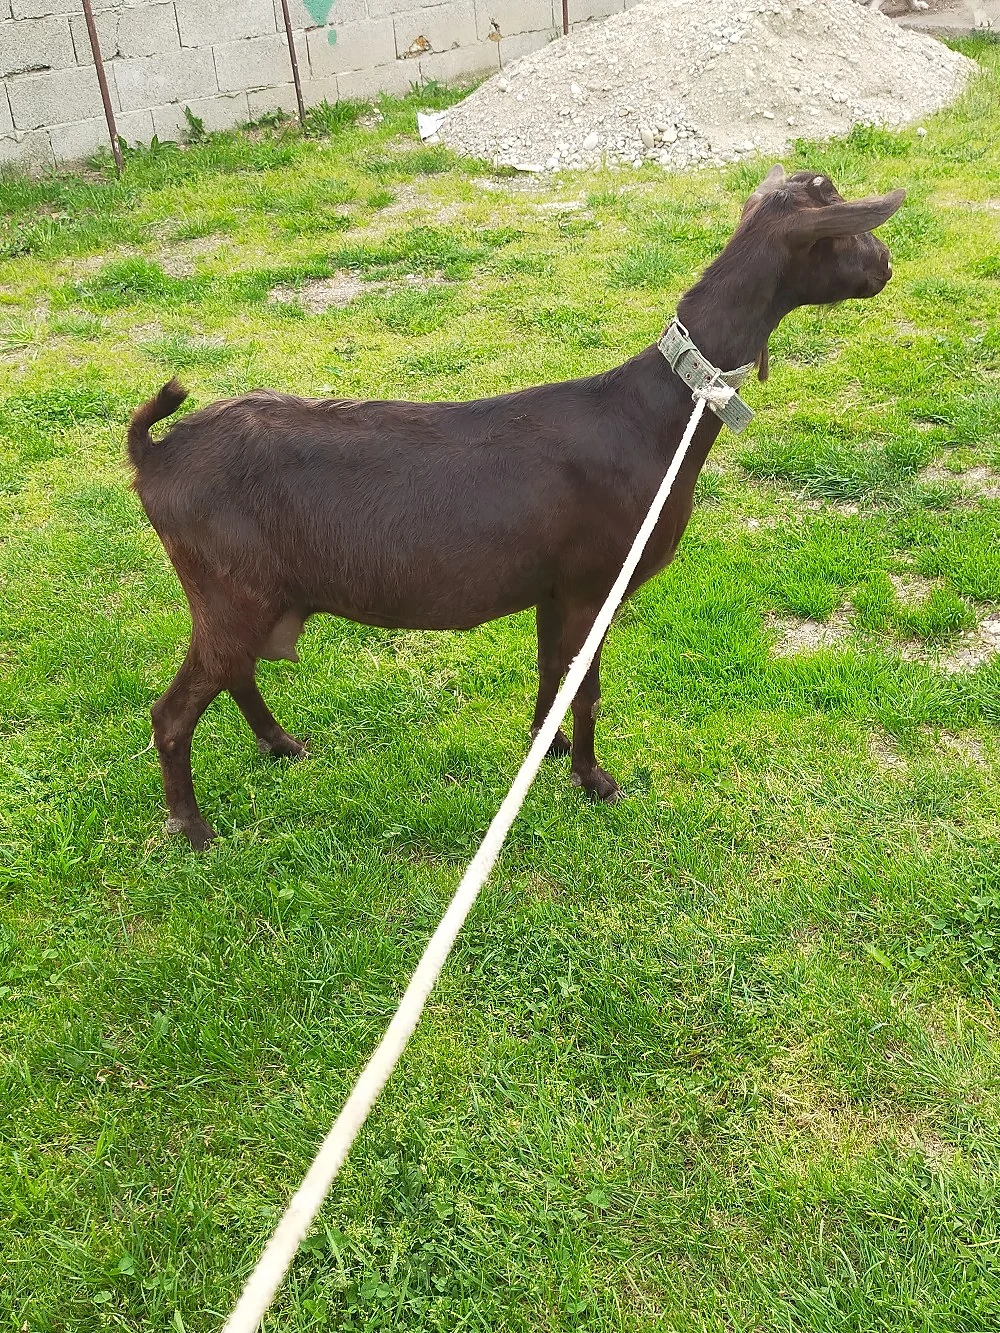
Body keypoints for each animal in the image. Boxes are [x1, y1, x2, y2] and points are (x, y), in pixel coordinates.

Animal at [128, 166, 905, 849]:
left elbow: (550, 670)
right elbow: (585, 686)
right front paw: (594, 779)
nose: (888, 264)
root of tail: (155, 456)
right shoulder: (596, 581)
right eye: (843, 229)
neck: (656, 414)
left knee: (238, 672)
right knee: (173, 711)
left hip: (254, 593)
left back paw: (281, 744)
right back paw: (192, 826)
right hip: (230, 587)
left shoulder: (555, 586)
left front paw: (548, 747)